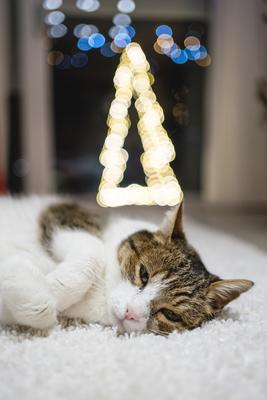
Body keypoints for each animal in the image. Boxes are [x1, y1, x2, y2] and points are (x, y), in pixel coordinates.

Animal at [0, 196, 254, 334]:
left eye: (170, 315)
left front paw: (27, 282)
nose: (131, 312)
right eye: (143, 274)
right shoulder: (65, 213)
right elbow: (94, 251)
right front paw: (51, 287)